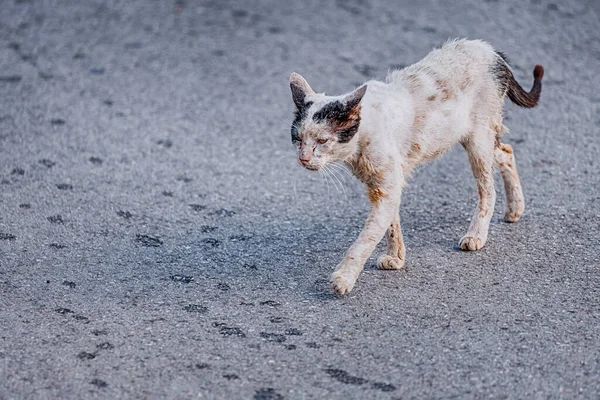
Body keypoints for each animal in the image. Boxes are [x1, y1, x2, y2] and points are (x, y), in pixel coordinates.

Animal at [290, 39, 544, 294]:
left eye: (323, 141)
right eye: (298, 138)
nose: (303, 158)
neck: (362, 138)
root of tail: (491, 51)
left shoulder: (386, 187)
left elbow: (365, 239)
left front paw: (344, 278)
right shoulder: (386, 186)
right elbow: (391, 225)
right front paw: (396, 258)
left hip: (479, 139)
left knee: (488, 189)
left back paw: (476, 235)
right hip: (477, 137)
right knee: (506, 151)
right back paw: (515, 209)